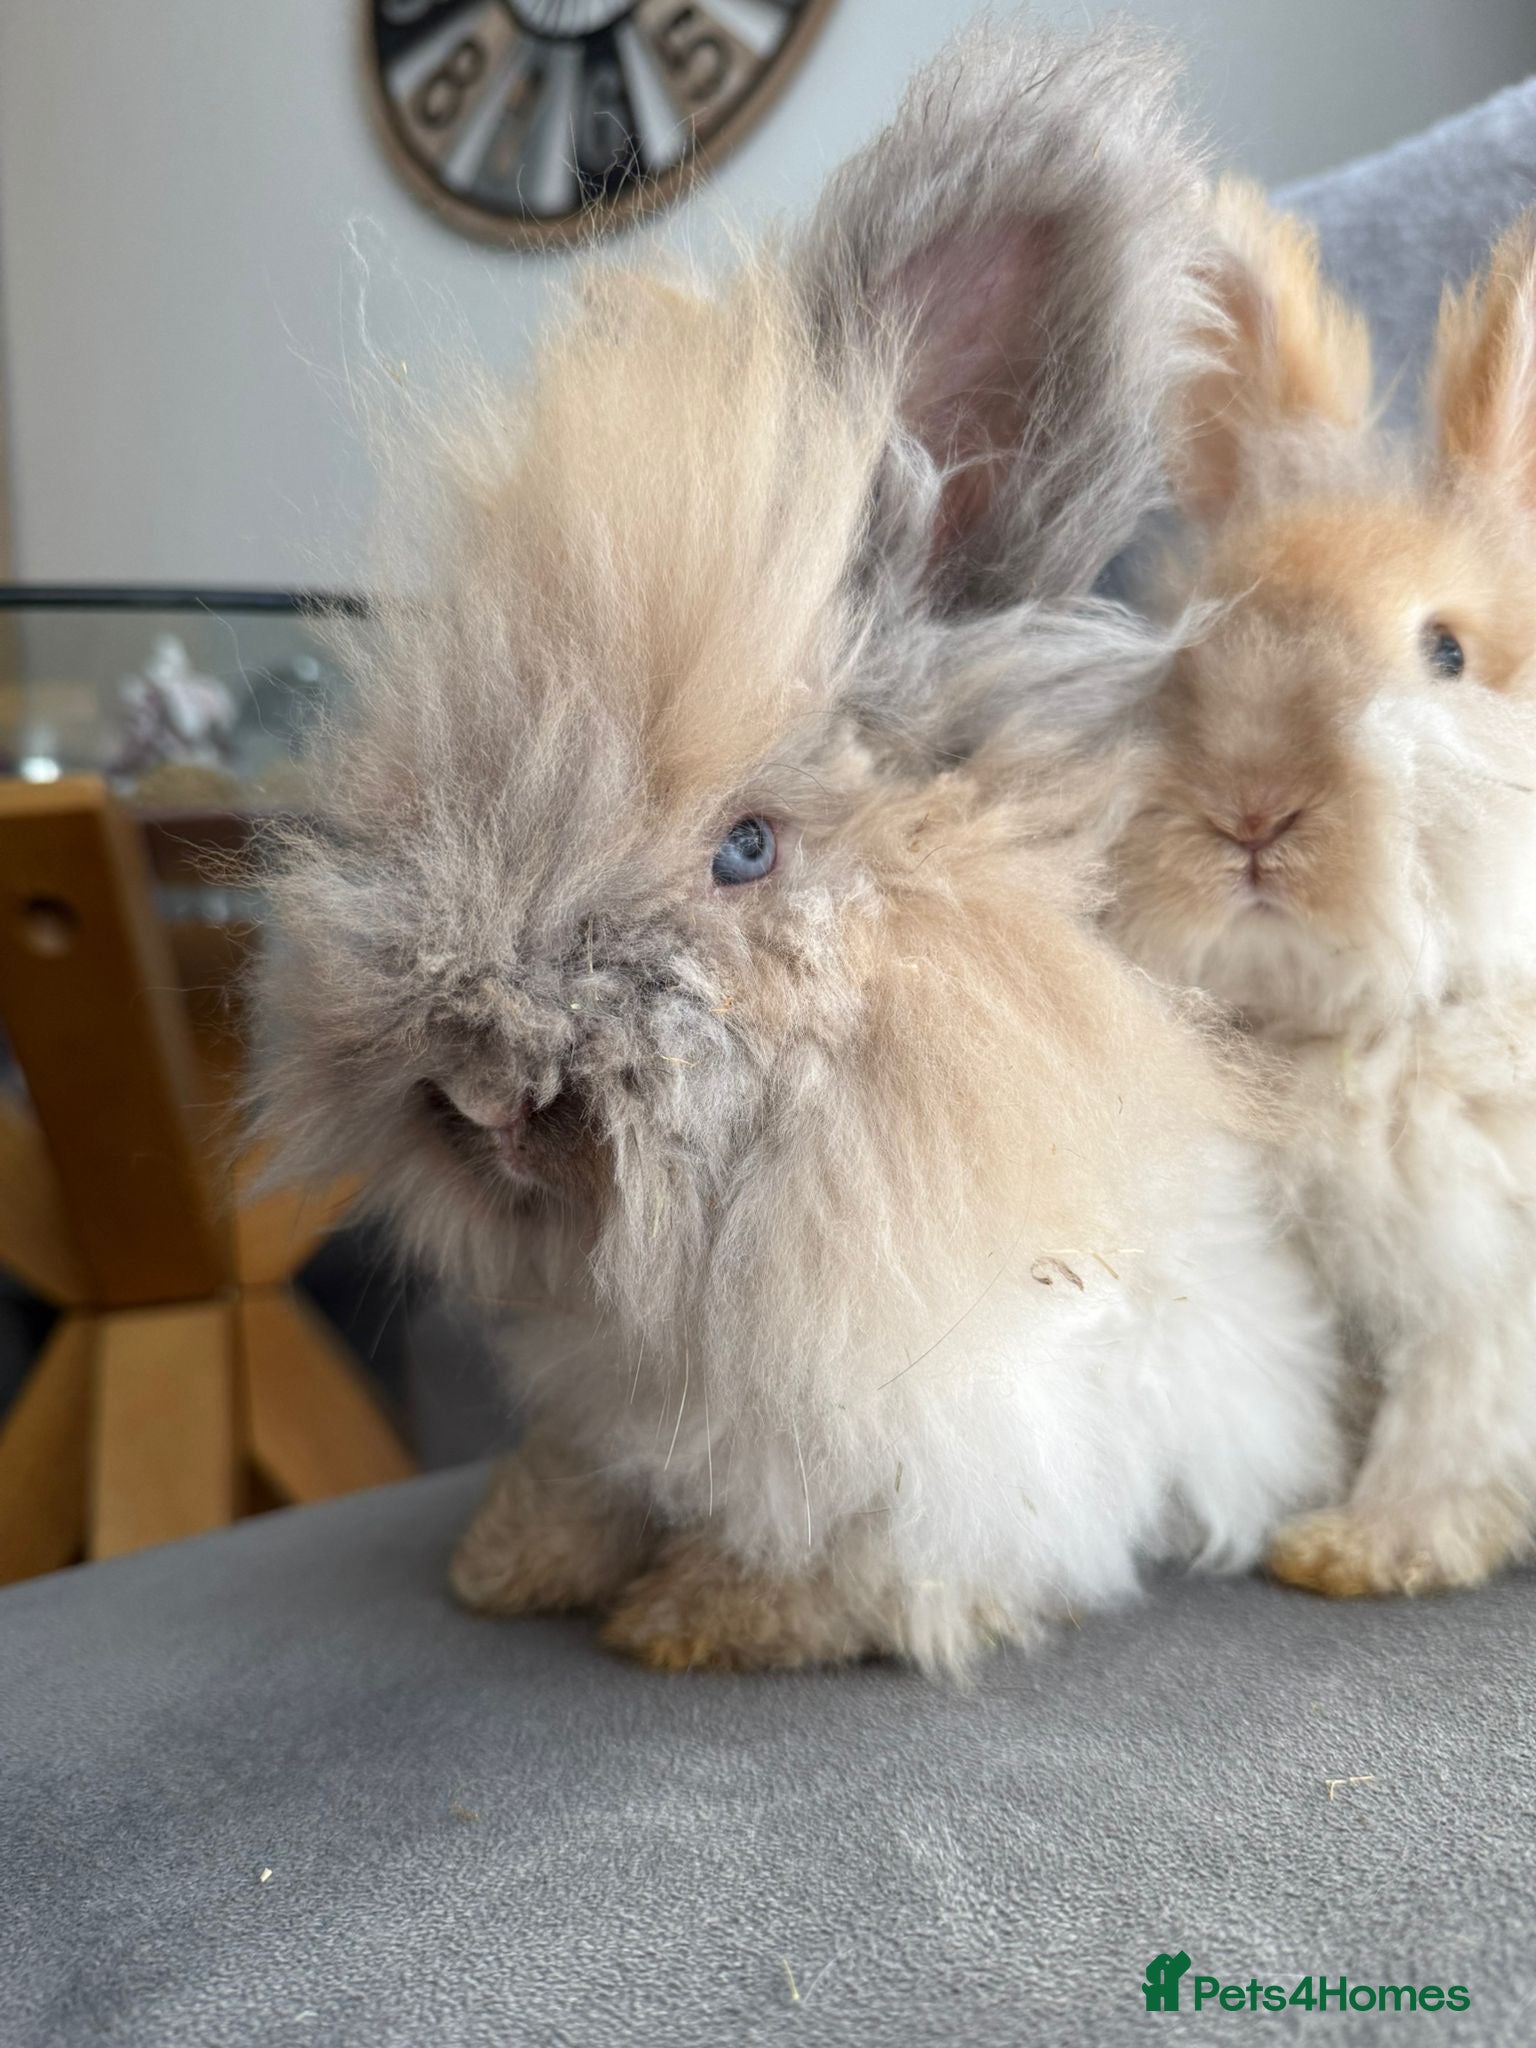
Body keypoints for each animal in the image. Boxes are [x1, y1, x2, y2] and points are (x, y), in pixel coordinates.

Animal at [254, 27, 1343, 1676]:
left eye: (748, 849)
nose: (485, 1093)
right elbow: (584, 1475)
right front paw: (512, 1568)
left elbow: (868, 1553)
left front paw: (702, 1618)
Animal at [1110, 180, 1536, 1599]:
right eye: (1200, 627)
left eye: (1446, 650)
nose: (1251, 809)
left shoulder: (1486, 1276)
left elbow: (1458, 1415)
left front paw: (1366, 1546)